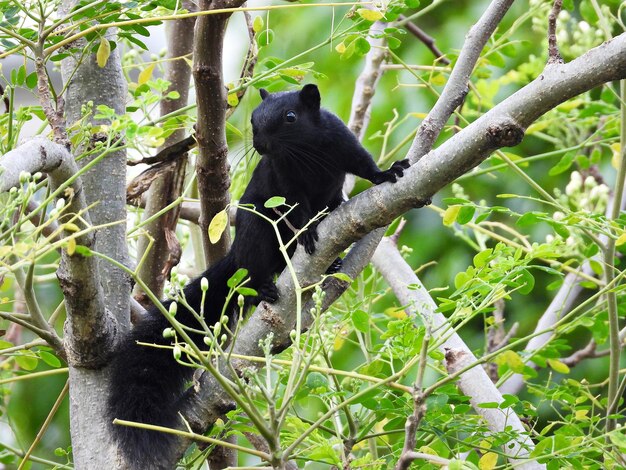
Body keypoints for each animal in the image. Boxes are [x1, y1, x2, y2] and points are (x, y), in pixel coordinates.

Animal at [107, 83, 410, 466]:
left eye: (291, 117)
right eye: (252, 119)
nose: (261, 145)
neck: (305, 150)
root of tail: (235, 256)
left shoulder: (341, 141)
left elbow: (363, 164)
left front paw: (388, 172)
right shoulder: (285, 181)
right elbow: (298, 208)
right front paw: (306, 232)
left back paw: (331, 262)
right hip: (255, 232)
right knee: (254, 272)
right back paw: (267, 284)